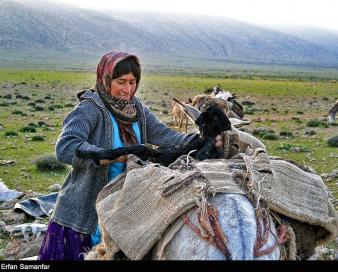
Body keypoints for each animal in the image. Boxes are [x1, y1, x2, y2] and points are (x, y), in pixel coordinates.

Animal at [75, 103, 231, 166]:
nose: (229, 125)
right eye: (214, 117)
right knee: (114, 151)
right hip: (142, 148)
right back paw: (81, 152)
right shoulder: (195, 143)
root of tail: (153, 154)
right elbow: (206, 141)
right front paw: (203, 152)